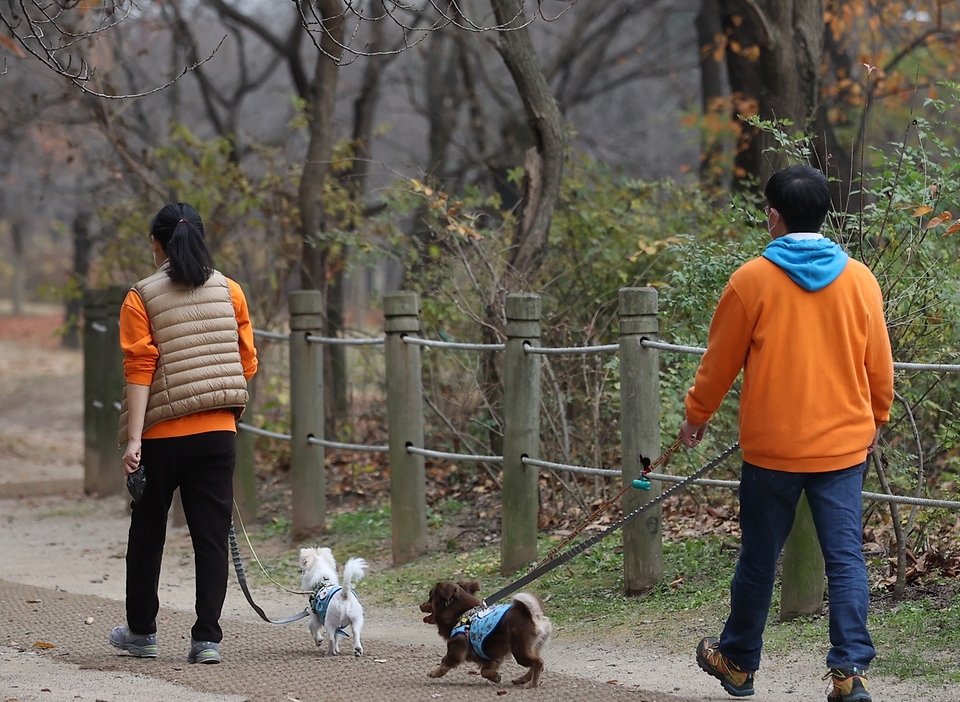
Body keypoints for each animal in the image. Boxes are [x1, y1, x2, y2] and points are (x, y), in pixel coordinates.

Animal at [420, 580, 556, 692]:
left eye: (430, 598)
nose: (420, 605)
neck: (460, 614)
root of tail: (533, 615)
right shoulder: (492, 654)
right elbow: (484, 670)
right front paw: (495, 677)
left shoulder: (456, 649)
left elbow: (445, 663)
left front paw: (434, 672)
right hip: (531, 648)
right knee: (536, 665)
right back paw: (522, 679)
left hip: (520, 651)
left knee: (538, 663)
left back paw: (531, 684)